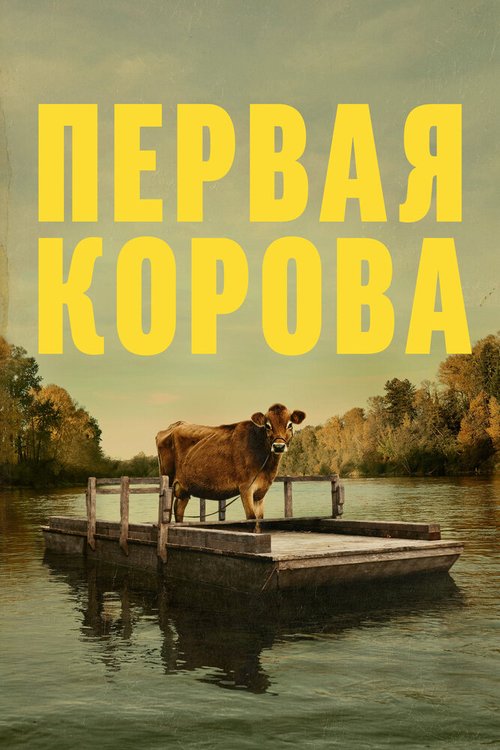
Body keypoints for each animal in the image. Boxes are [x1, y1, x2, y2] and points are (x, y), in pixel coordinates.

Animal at [156, 403, 306, 525]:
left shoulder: (260, 492)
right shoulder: (246, 488)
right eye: (267, 426)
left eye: (290, 424)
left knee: (179, 509)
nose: (278, 446)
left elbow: (260, 519)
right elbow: (251, 518)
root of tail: (175, 425)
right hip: (168, 480)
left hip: (184, 487)